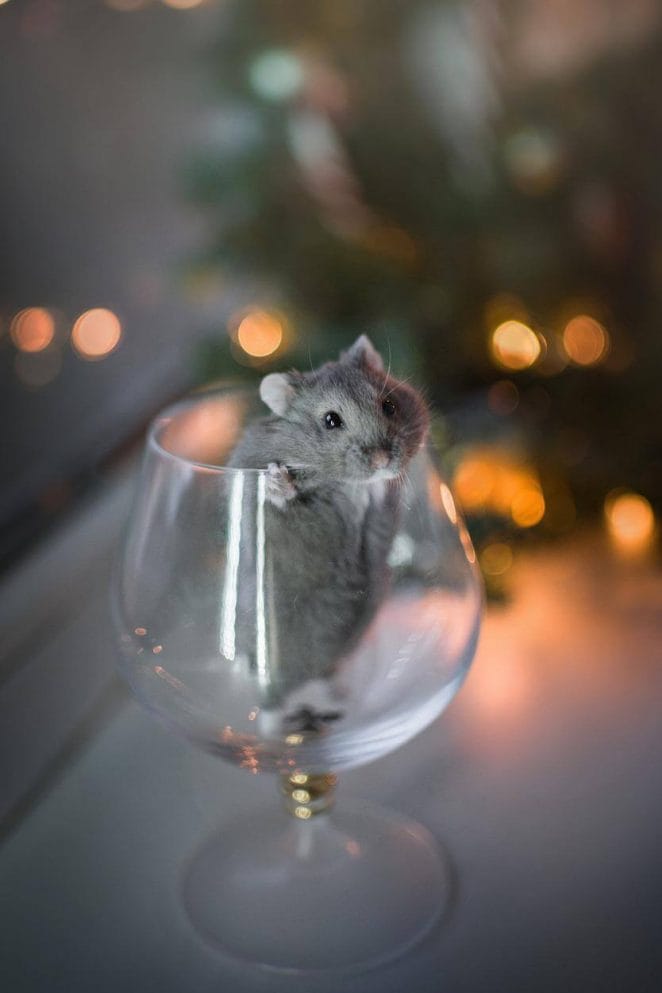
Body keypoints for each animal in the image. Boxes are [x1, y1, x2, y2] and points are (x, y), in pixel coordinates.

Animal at [227, 335, 429, 727]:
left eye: (389, 405)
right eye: (331, 420)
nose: (382, 459)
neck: (351, 486)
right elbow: (280, 500)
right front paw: (276, 479)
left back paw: (339, 697)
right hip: (274, 651)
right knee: (273, 702)